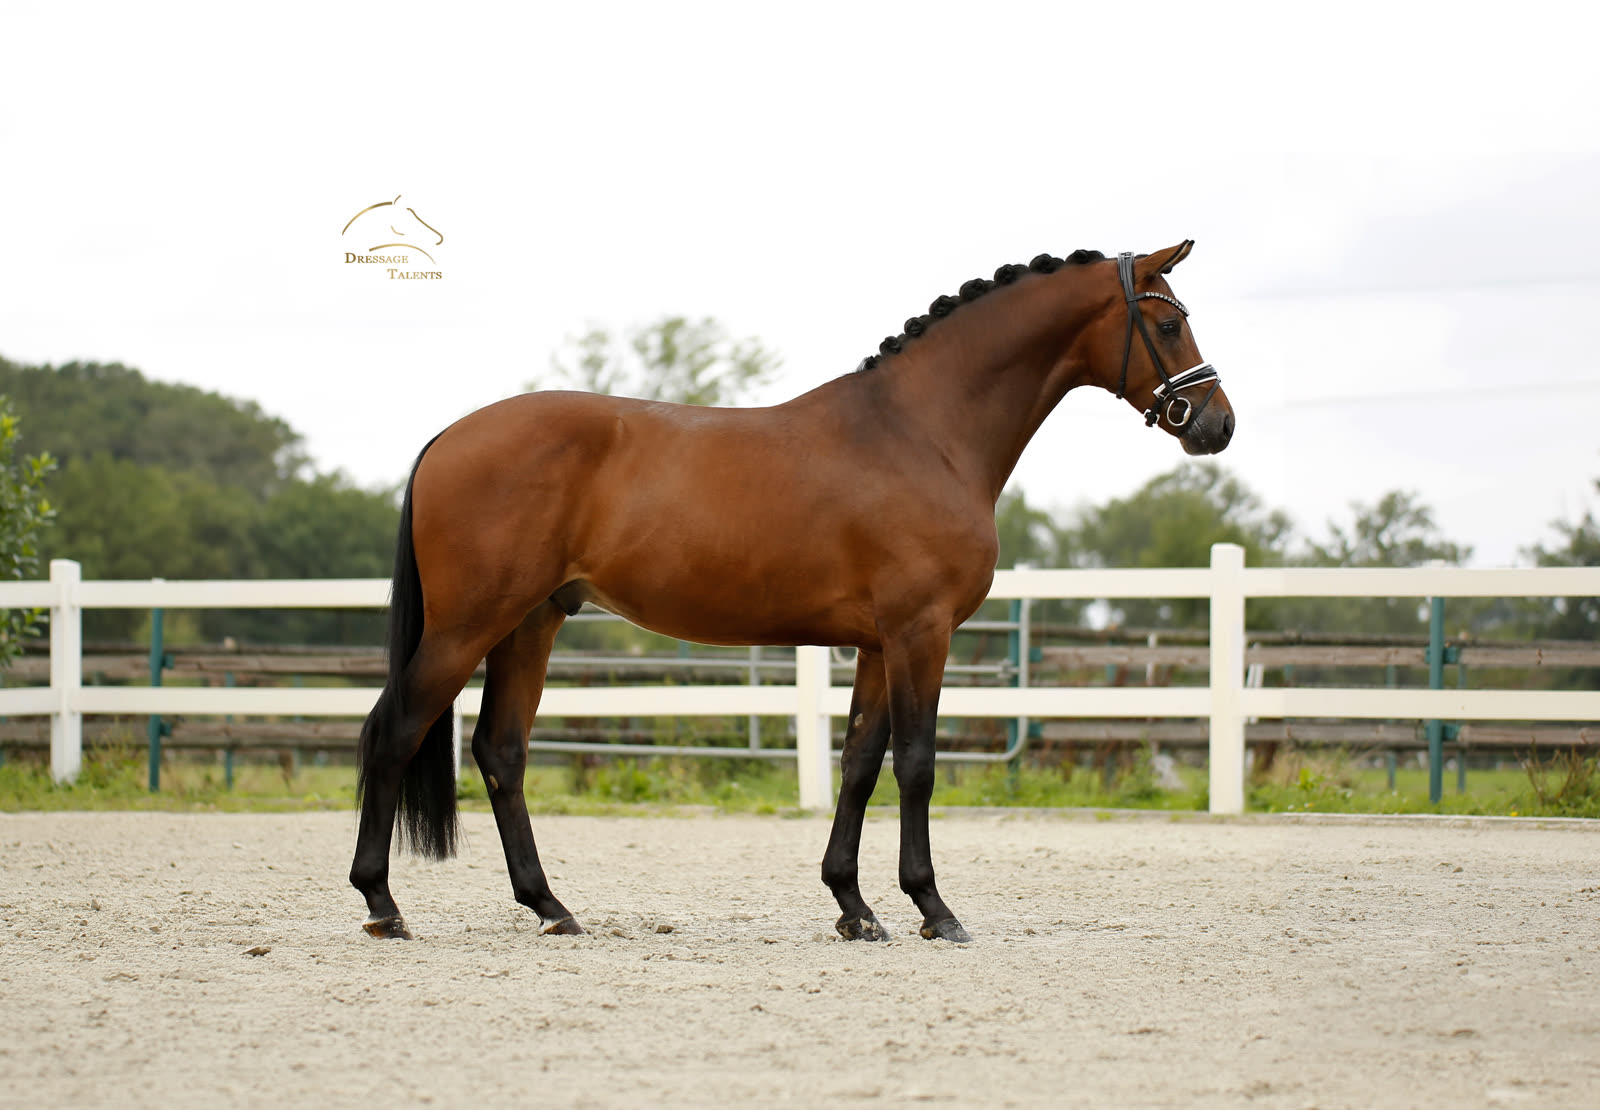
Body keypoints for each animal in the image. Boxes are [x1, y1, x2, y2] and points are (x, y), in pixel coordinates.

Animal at [349, 241, 1235, 943]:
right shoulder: (922, 632)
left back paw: (550, 907)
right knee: (394, 729)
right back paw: (383, 903)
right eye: (1167, 325)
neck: (922, 433)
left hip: (531, 622)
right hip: (470, 624)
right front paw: (933, 909)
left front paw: (855, 907)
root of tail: (449, 436)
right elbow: (917, 763)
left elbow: (860, 762)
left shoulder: (878, 643)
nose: (1216, 423)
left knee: (501, 750)